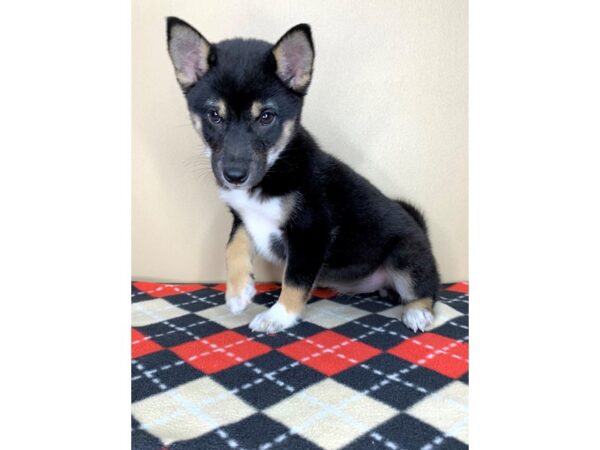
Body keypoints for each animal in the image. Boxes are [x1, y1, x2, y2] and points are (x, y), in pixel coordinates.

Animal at [166, 16, 438, 334]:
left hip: (405, 256)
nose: (234, 175)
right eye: (214, 116)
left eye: (266, 117)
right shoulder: (243, 218)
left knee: (426, 288)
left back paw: (417, 312)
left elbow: (294, 280)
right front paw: (238, 292)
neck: (274, 169)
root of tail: (422, 232)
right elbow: (232, 246)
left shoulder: (311, 231)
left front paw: (278, 316)